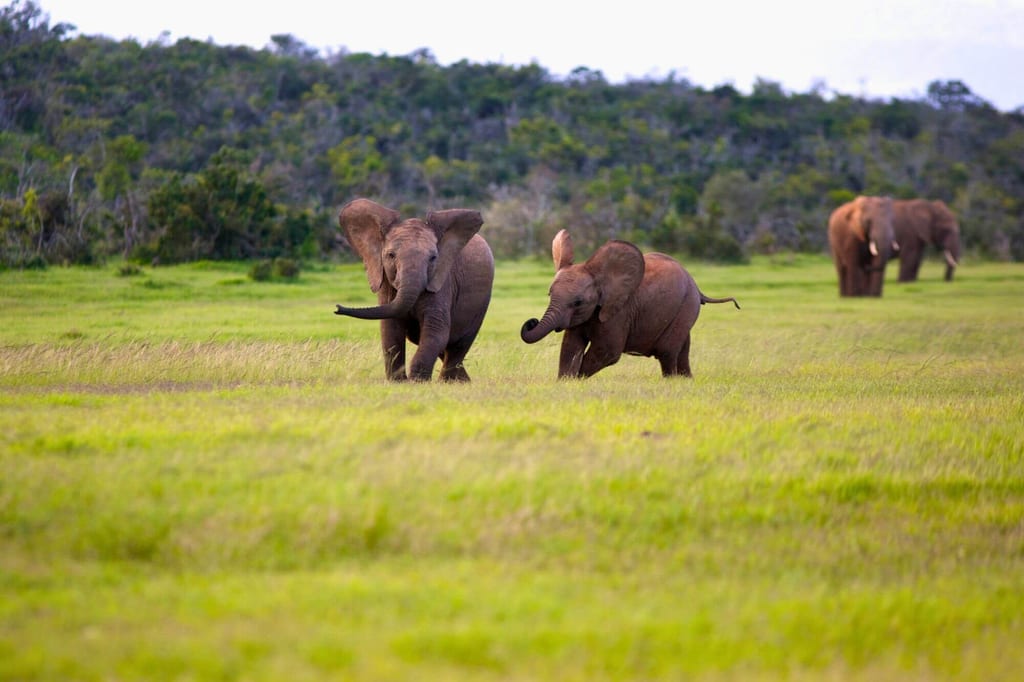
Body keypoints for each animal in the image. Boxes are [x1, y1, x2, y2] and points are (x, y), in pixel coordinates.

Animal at [334, 198, 494, 381]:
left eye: (433, 258)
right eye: (391, 255)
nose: (337, 308)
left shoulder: (442, 281)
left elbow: (436, 331)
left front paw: (418, 382)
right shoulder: (386, 284)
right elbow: (390, 332)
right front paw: (398, 382)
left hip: (479, 306)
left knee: (458, 346)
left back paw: (451, 382)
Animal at [520, 230, 739, 379]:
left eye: (578, 302)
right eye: (549, 294)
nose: (531, 321)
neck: (600, 276)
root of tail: (696, 286)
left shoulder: (618, 312)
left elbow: (607, 352)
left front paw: (577, 380)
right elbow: (570, 347)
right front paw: (566, 382)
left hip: (686, 307)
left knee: (668, 352)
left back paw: (672, 381)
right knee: (682, 349)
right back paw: (686, 381)